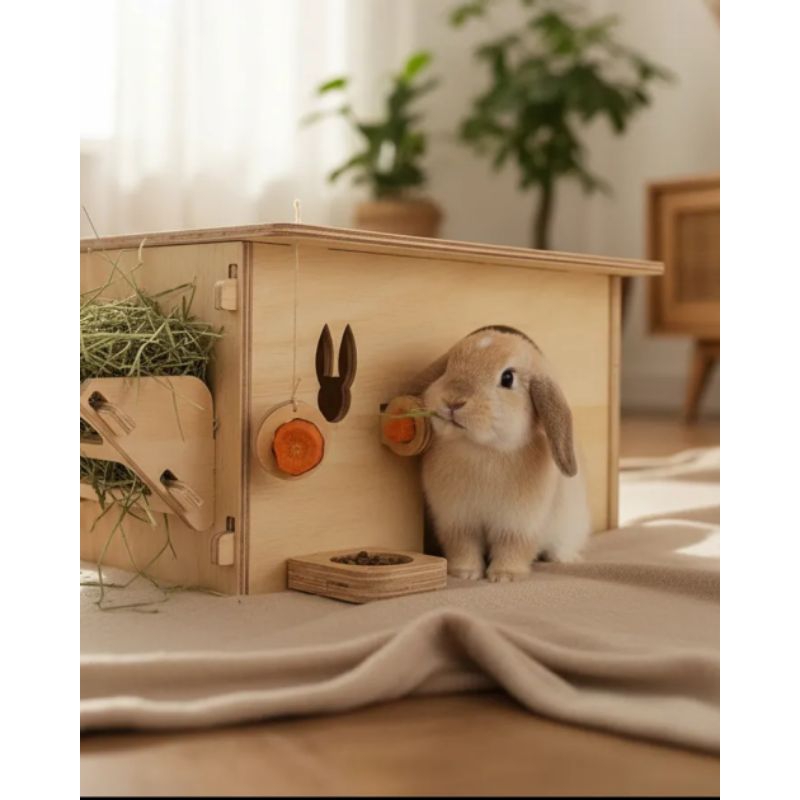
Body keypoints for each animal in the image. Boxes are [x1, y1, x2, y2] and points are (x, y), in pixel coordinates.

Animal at [406, 325, 591, 582]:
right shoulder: (457, 521)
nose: (453, 401)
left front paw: (505, 576)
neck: (482, 450)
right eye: (448, 367)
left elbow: (513, 547)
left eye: (507, 378)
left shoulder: (519, 524)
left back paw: (565, 559)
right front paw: (464, 573)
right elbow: (463, 546)